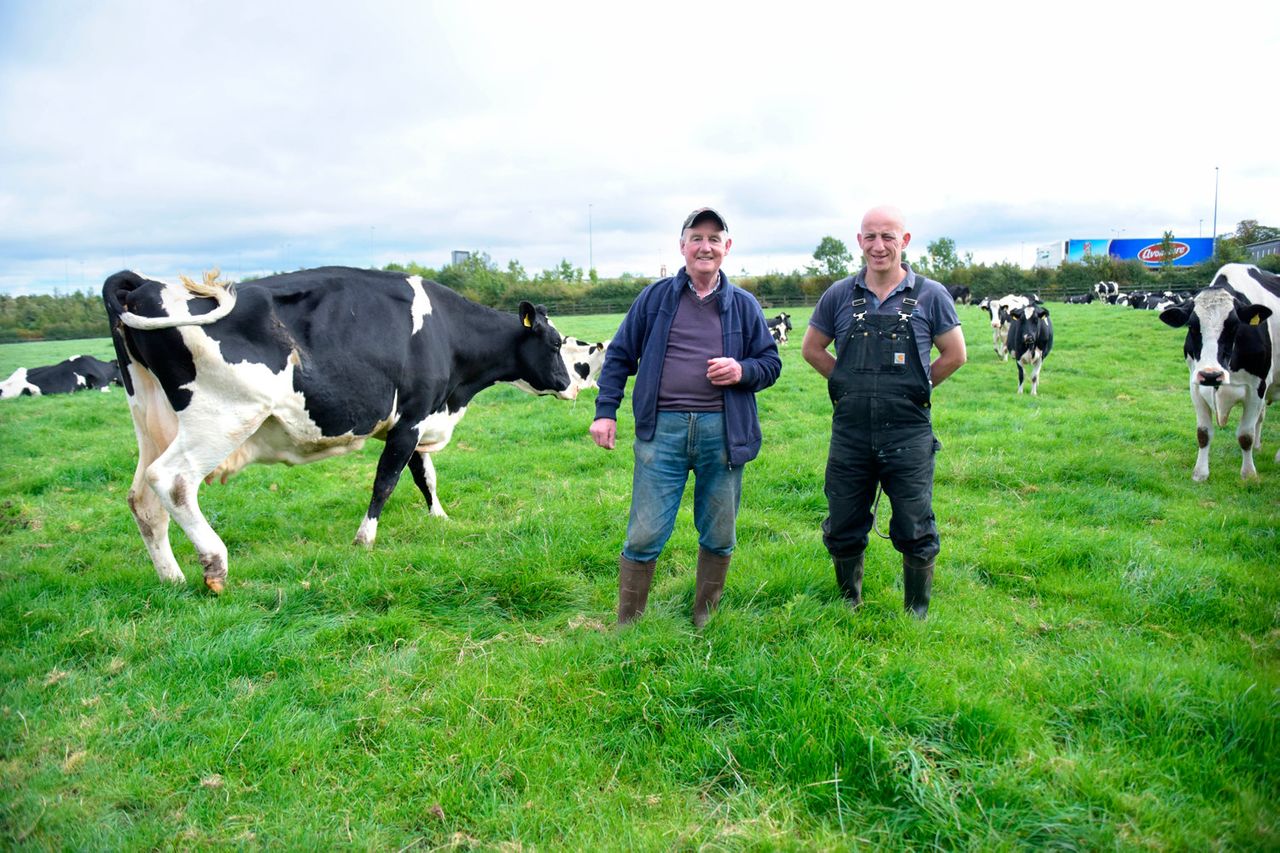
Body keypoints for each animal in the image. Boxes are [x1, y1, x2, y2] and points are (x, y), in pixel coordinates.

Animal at [104, 266, 586, 591]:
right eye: (554, 343)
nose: (572, 385)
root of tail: (146, 284)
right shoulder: (411, 419)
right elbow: (387, 480)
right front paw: (365, 539)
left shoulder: (419, 417)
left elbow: (424, 475)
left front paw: (440, 517)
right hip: (223, 417)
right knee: (174, 481)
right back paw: (214, 562)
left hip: (153, 421)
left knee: (143, 500)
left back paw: (172, 578)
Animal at [1157, 262, 1274, 481]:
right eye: (1192, 326)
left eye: (1235, 326)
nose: (1211, 374)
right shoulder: (1195, 386)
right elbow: (1203, 433)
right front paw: (1200, 474)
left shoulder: (1257, 388)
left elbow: (1245, 435)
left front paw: (1249, 474)